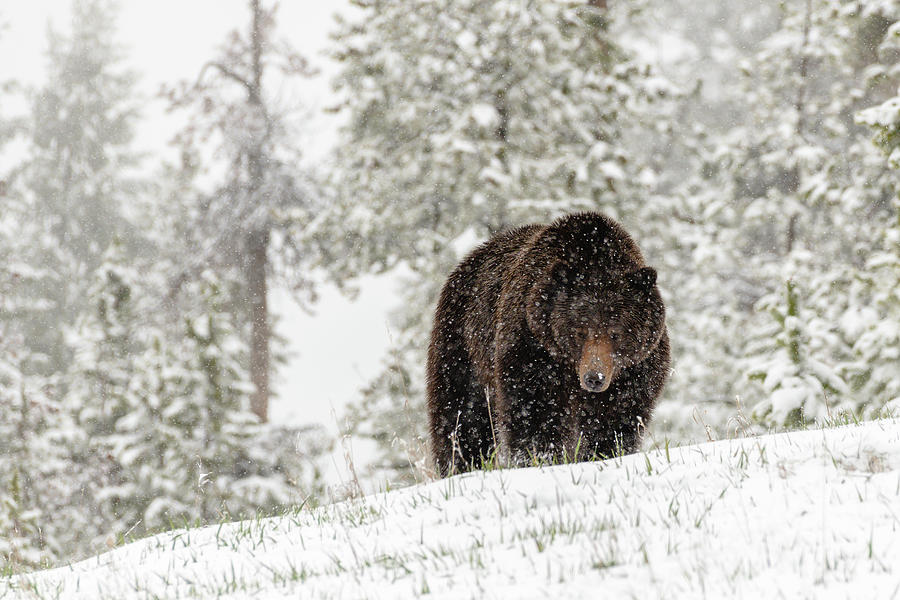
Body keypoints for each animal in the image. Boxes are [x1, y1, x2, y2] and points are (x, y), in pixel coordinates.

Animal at [428, 213, 668, 476]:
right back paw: (460, 466)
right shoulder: (532, 350)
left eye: (615, 333)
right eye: (580, 331)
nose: (594, 378)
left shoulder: (635, 370)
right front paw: (540, 458)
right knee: (461, 416)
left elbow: (616, 419)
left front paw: (603, 454)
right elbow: (535, 412)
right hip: (463, 346)